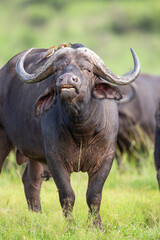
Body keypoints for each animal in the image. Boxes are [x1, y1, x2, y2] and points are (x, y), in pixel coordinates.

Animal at [0, 42, 140, 227]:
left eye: (87, 69)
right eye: (58, 69)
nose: (67, 80)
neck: (82, 131)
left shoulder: (106, 158)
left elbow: (94, 195)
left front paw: (96, 226)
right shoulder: (55, 159)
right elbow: (67, 195)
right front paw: (70, 226)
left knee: (31, 180)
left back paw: (36, 216)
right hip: (2, 137)